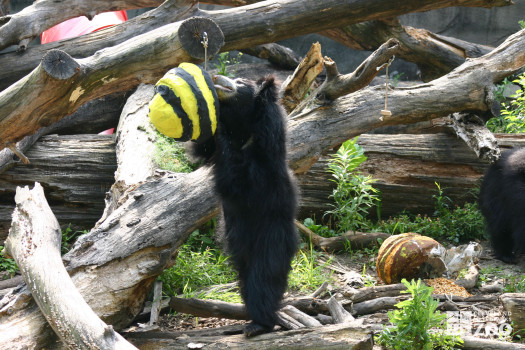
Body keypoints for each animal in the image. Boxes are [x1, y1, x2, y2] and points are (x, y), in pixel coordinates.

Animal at [192, 75, 298, 338]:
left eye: (240, 82)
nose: (217, 77)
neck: (243, 124)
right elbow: (203, 149)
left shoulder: (264, 161)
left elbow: (239, 177)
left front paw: (219, 128)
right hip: (239, 247)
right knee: (246, 277)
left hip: (272, 238)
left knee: (264, 277)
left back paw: (259, 324)